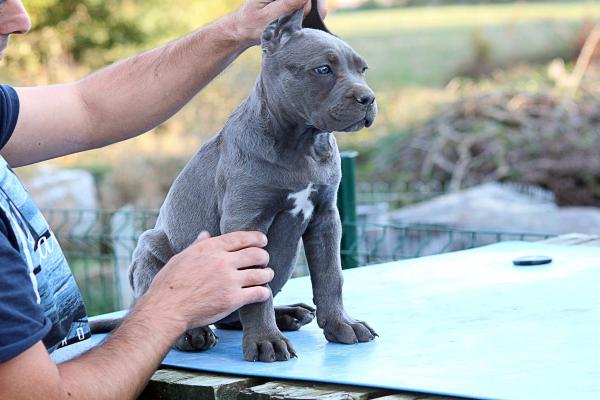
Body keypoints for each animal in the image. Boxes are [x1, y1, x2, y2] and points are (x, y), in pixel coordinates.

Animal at [129, 8, 378, 362]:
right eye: (323, 69)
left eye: (362, 70)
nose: (368, 98)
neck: (300, 143)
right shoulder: (247, 223)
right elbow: (256, 290)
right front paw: (265, 342)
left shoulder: (326, 218)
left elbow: (331, 276)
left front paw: (342, 325)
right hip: (150, 251)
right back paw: (194, 334)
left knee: (236, 314)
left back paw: (287, 314)